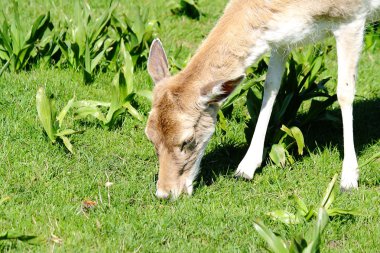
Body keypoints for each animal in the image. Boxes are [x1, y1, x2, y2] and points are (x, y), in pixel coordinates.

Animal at [145, 0, 380, 199]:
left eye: (187, 140)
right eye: (150, 137)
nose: (164, 193)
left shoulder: (352, 18)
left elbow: (344, 93)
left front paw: (349, 179)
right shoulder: (281, 38)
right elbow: (271, 87)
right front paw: (245, 167)